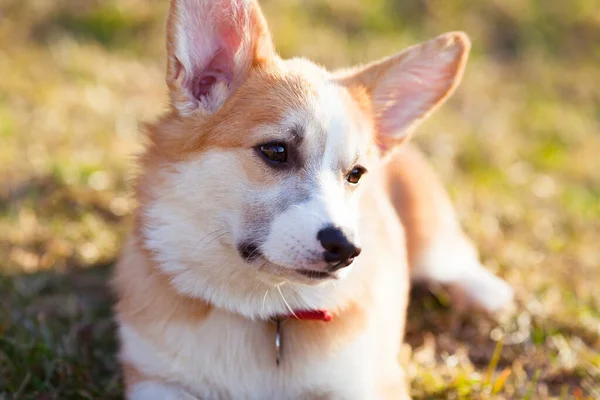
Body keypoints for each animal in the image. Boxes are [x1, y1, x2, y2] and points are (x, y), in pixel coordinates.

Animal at [113, 0, 516, 396]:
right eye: (276, 150)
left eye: (356, 174)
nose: (347, 249)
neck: (263, 308)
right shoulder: (156, 379)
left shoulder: (367, 384)